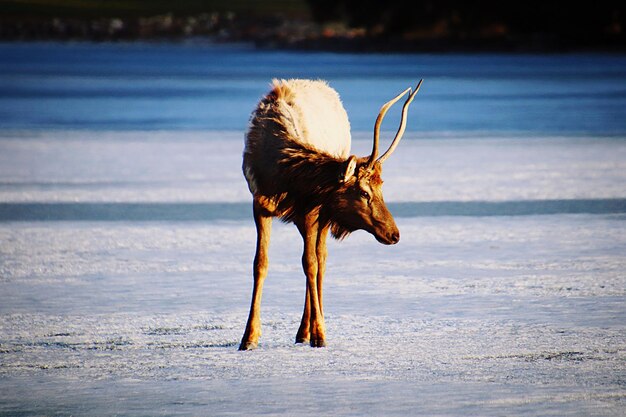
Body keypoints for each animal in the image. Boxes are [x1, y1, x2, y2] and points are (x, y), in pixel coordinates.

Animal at [238, 77, 420, 348]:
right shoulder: (259, 203)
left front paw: (319, 334)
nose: (394, 233)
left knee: (321, 259)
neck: (280, 175)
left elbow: (311, 264)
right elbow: (260, 264)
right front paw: (248, 337)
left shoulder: (312, 209)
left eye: (381, 189)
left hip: (323, 213)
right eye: (364, 192)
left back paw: (308, 329)